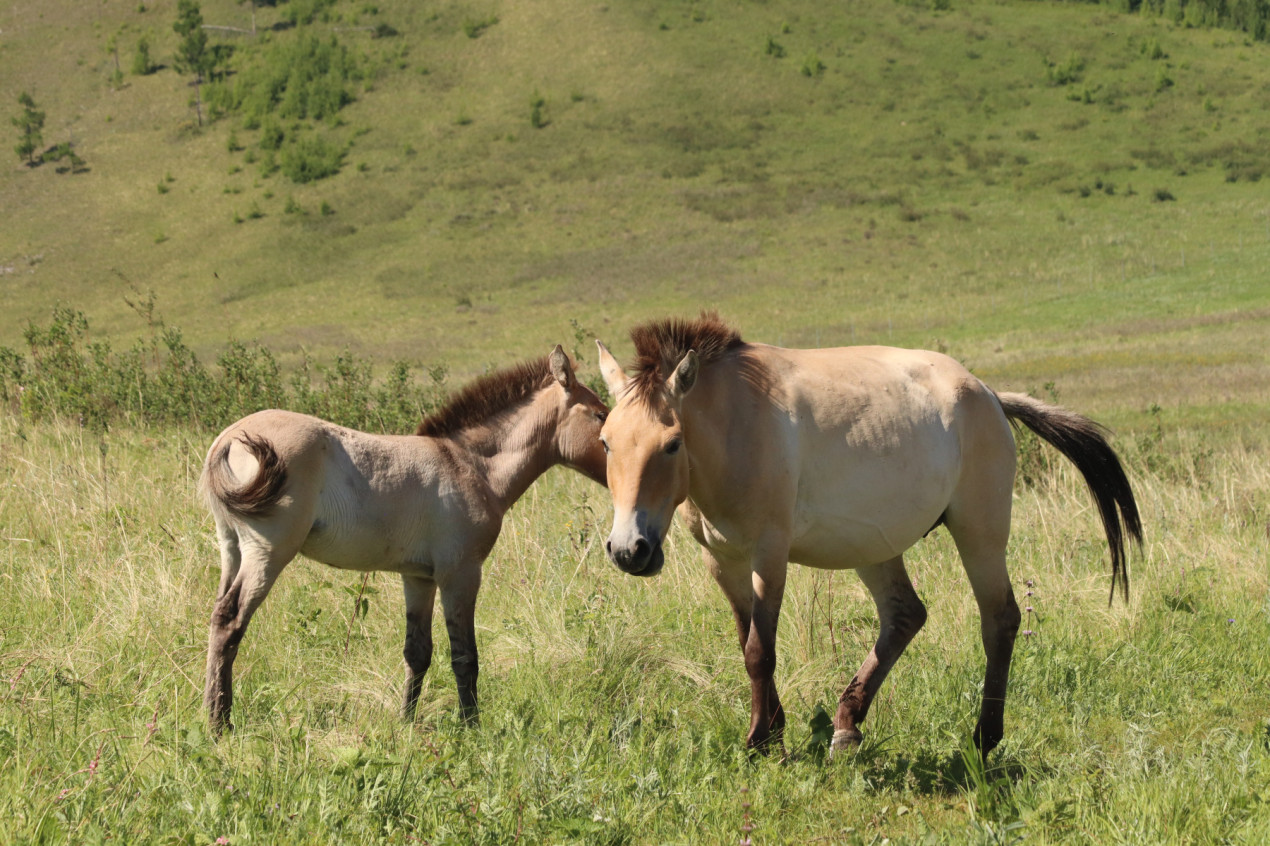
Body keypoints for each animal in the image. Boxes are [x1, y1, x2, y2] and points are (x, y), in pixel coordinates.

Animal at [199, 346, 608, 733]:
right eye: (601, 415)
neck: (470, 465)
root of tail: (227, 438)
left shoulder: (419, 577)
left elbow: (418, 652)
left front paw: (406, 723)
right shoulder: (460, 574)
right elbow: (465, 655)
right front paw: (471, 725)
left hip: (232, 549)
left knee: (218, 617)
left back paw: (212, 714)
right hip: (268, 553)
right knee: (231, 621)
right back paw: (220, 724)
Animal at [594, 314, 1141, 757]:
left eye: (672, 444)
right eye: (605, 441)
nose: (628, 551)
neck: (735, 424)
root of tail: (988, 394)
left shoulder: (769, 555)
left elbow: (759, 650)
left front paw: (760, 742)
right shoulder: (723, 560)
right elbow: (747, 641)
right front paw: (773, 730)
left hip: (980, 534)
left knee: (1000, 620)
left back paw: (983, 739)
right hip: (875, 546)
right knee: (905, 615)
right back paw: (846, 727)